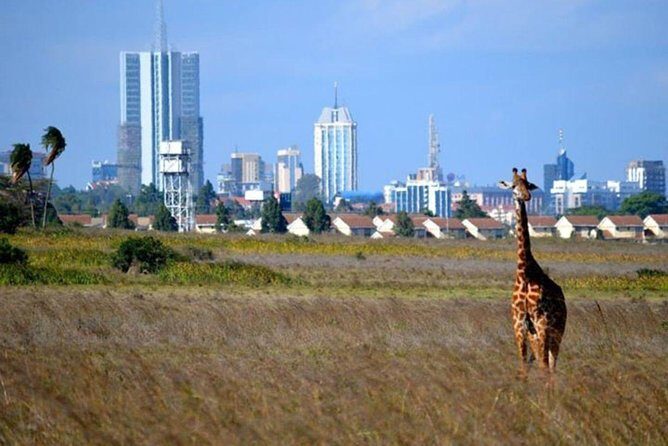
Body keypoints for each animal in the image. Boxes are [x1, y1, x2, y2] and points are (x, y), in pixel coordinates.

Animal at [499, 168, 567, 374]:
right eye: (513, 186)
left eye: (528, 185)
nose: (526, 196)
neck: (524, 273)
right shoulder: (519, 325)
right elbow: (523, 366)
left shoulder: (541, 322)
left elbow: (544, 365)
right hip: (535, 334)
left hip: (556, 331)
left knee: (550, 365)